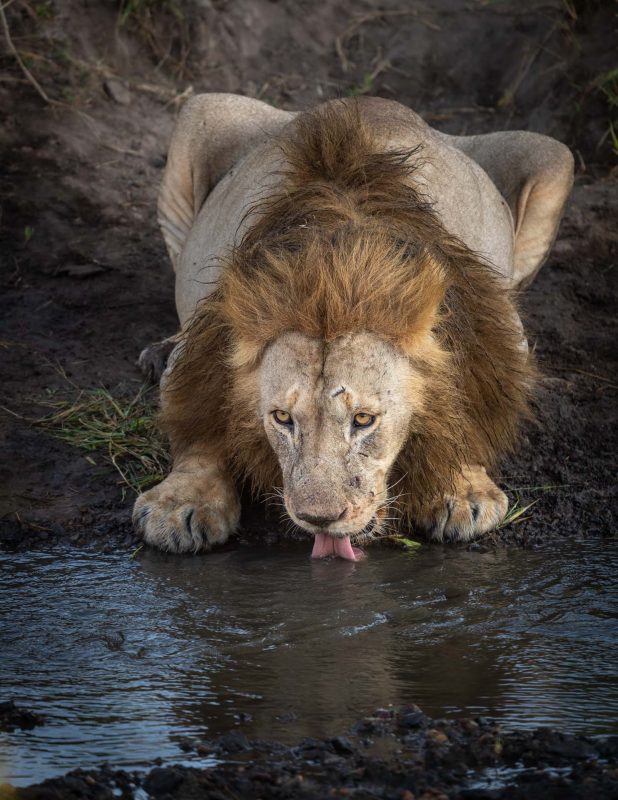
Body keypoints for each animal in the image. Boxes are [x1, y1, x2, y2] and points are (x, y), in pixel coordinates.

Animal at [131, 94, 572, 556]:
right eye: (282, 418)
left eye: (363, 420)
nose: (319, 519)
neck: (332, 274)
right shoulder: (203, 351)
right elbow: (197, 430)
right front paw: (181, 504)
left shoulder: (499, 336)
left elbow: (473, 407)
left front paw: (463, 491)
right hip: (201, 113)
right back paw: (158, 351)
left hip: (550, 155)